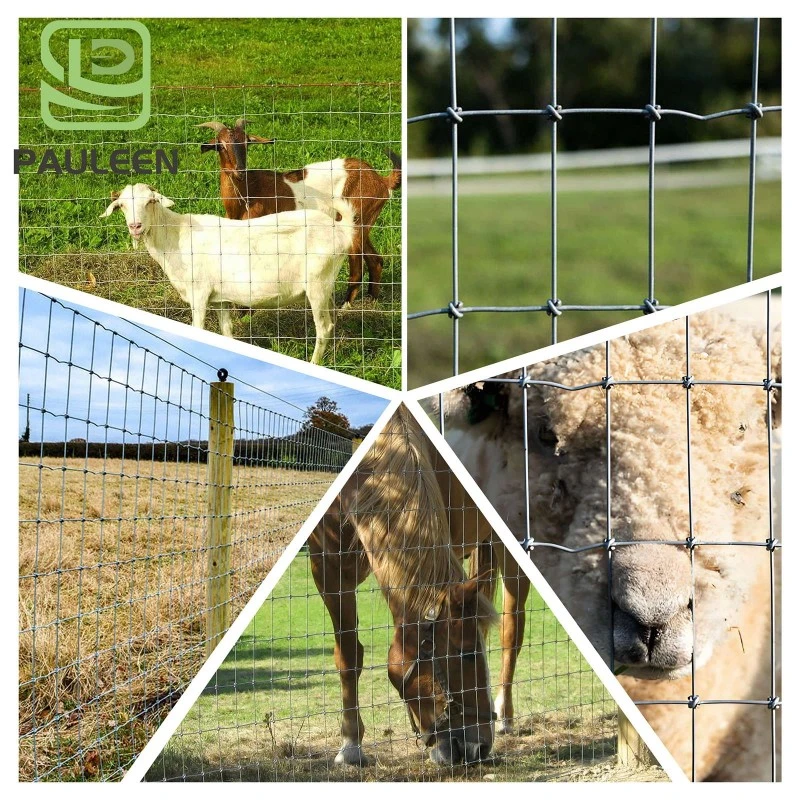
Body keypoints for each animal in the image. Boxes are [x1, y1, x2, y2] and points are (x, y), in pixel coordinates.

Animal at [308, 405, 531, 767]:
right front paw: (350, 745)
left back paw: (506, 715)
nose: (477, 748)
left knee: (512, 631)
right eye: (467, 654)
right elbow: (348, 656)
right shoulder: (328, 572)